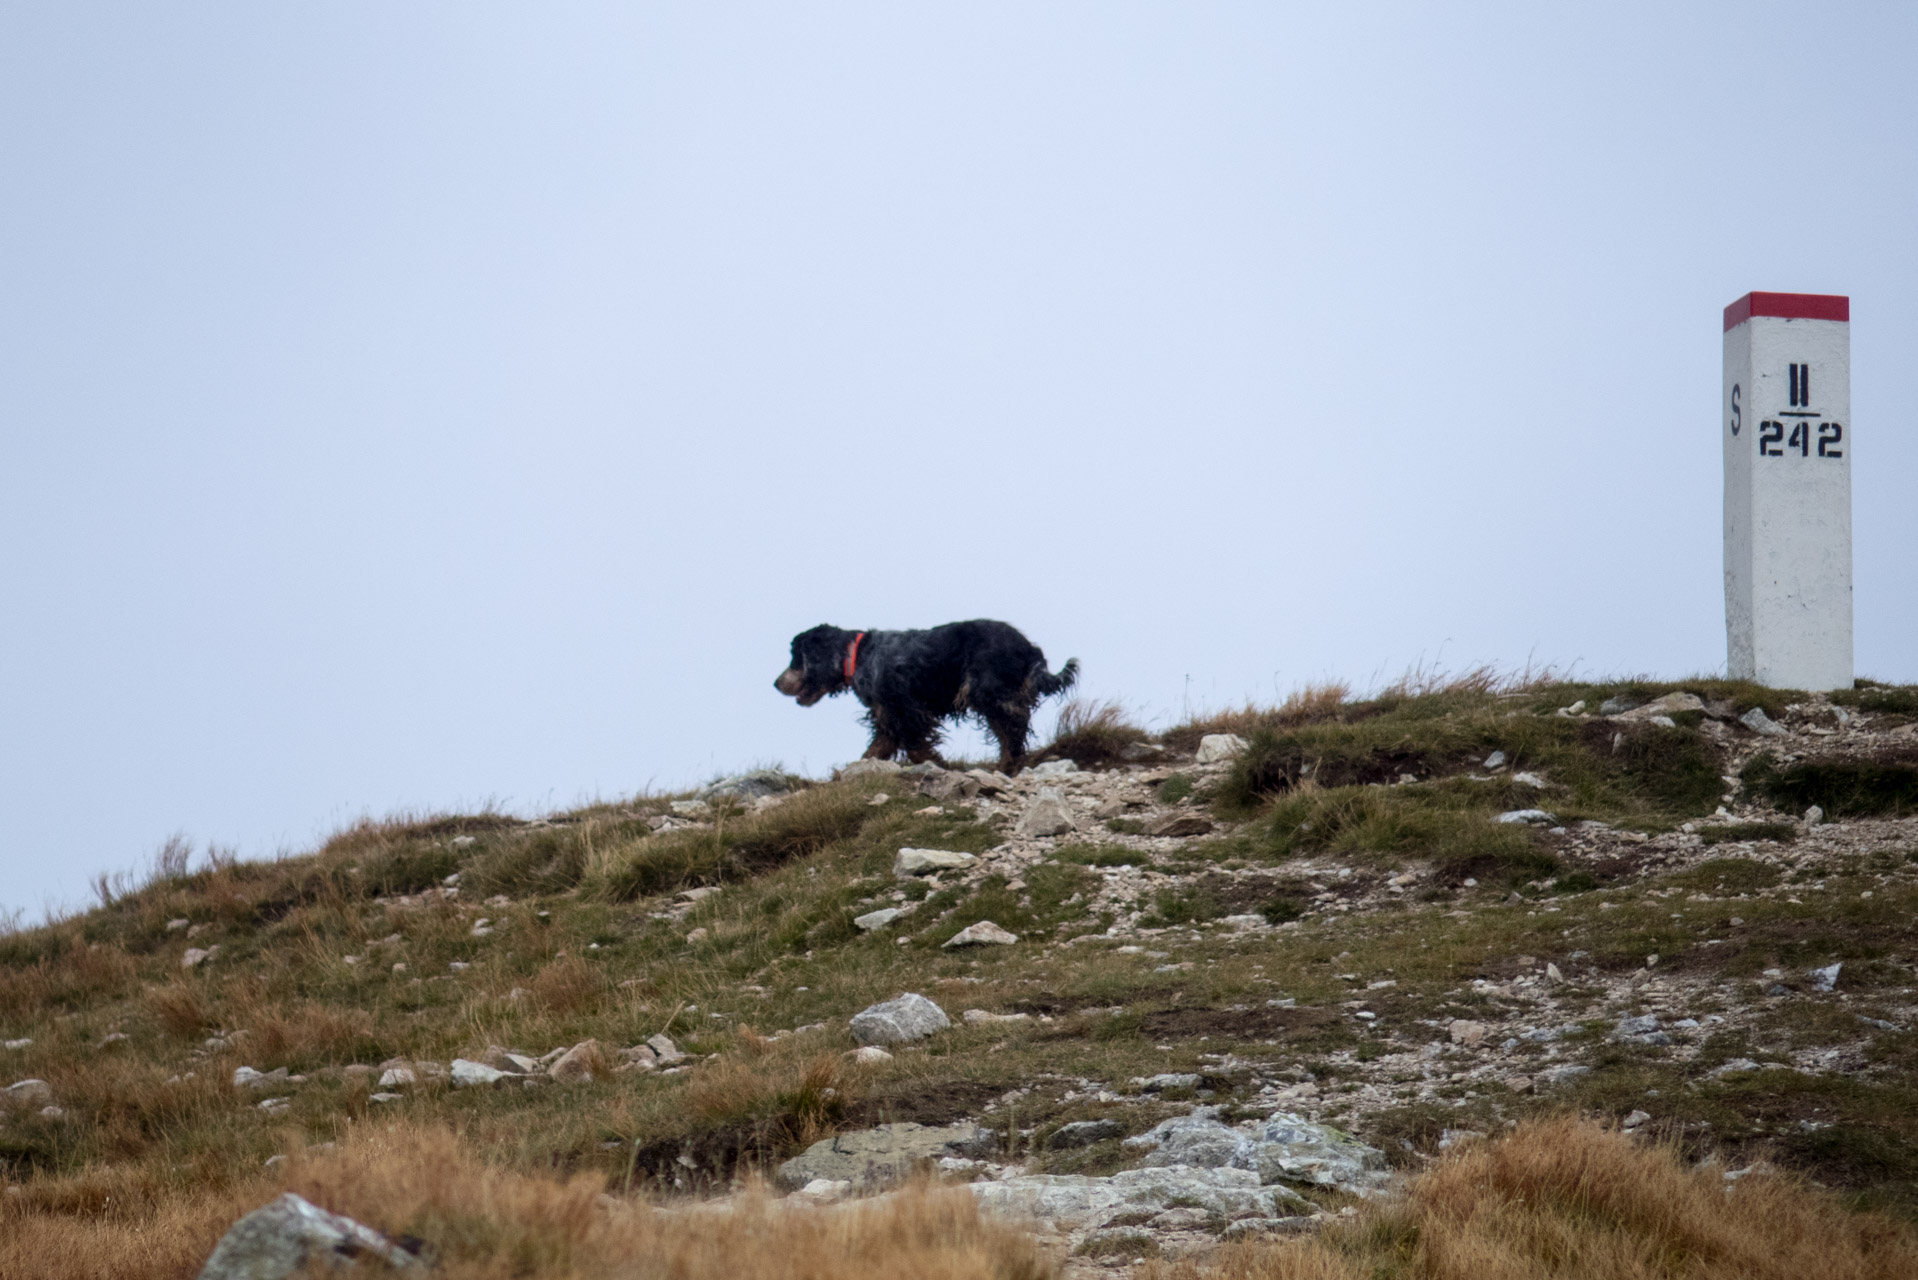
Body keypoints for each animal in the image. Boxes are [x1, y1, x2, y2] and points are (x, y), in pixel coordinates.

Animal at [774, 617, 1081, 771]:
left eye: (795, 657)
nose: (776, 683)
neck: (858, 655)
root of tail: (1029, 647)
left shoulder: (904, 706)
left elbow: (914, 745)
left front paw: (937, 763)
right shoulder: (886, 713)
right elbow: (879, 747)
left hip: (985, 689)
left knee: (1013, 724)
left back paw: (1010, 762)